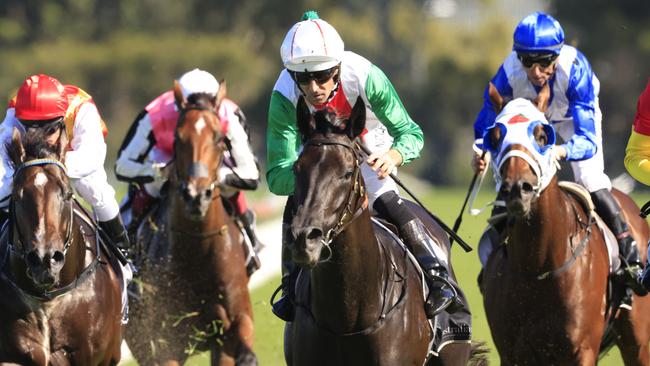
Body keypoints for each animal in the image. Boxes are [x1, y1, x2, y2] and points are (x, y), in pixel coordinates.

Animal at [124, 83, 256, 366]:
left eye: (219, 138)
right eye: (177, 138)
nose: (196, 195)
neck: (198, 249)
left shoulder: (235, 323)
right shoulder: (166, 342)